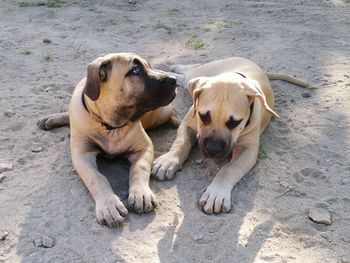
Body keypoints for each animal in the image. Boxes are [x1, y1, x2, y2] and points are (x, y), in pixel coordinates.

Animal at [38, 52, 178, 228]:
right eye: (136, 70)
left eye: (150, 66)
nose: (174, 79)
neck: (110, 126)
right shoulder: (82, 155)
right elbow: (97, 178)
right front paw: (109, 204)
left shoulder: (144, 147)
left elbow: (139, 168)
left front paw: (141, 193)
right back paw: (50, 120)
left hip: (162, 113)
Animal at [152, 56, 310, 216]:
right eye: (204, 117)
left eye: (235, 122)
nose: (212, 150)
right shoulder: (187, 125)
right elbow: (181, 143)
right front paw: (168, 160)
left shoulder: (248, 150)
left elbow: (228, 169)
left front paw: (216, 192)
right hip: (203, 71)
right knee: (187, 72)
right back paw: (169, 70)